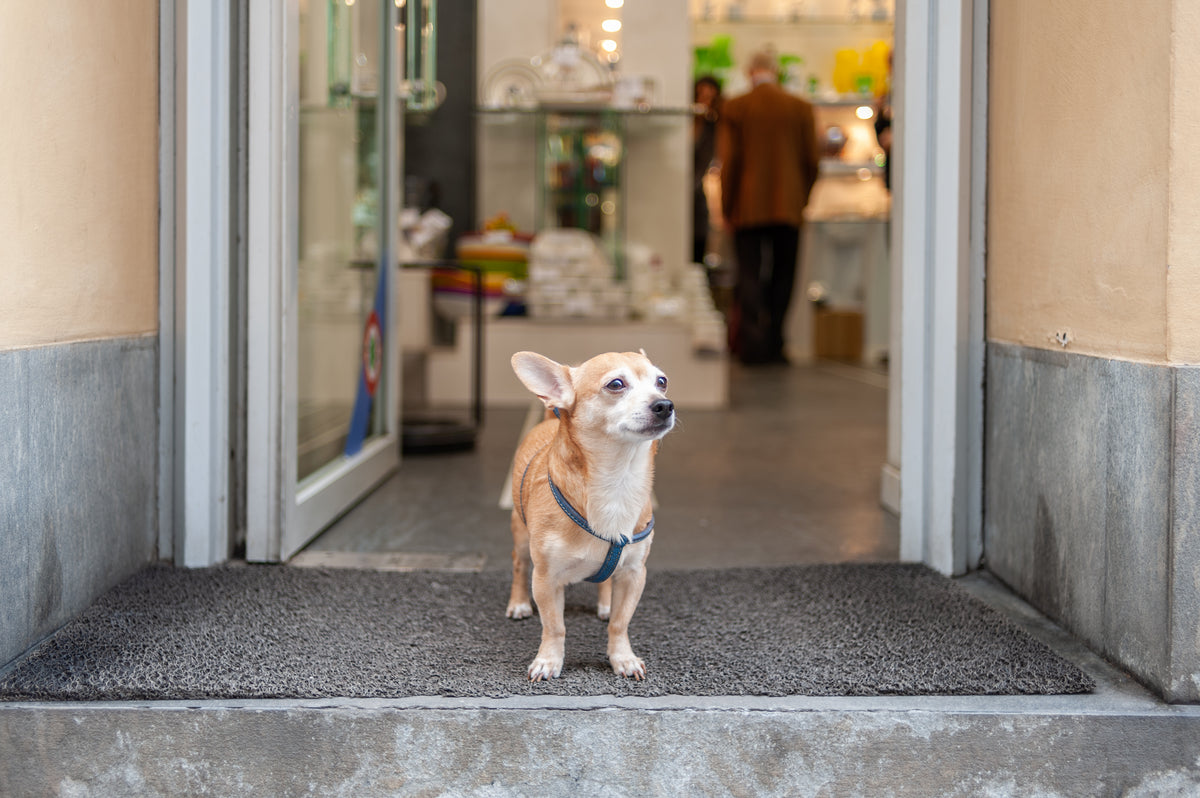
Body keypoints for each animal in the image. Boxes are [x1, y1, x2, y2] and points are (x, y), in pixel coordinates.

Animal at [506, 348, 676, 676]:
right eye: (616, 384)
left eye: (661, 382)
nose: (665, 404)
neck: (617, 481)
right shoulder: (545, 579)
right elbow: (554, 626)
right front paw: (549, 661)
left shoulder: (634, 574)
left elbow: (620, 623)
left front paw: (622, 657)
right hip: (521, 537)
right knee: (519, 566)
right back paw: (518, 603)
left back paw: (606, 604)